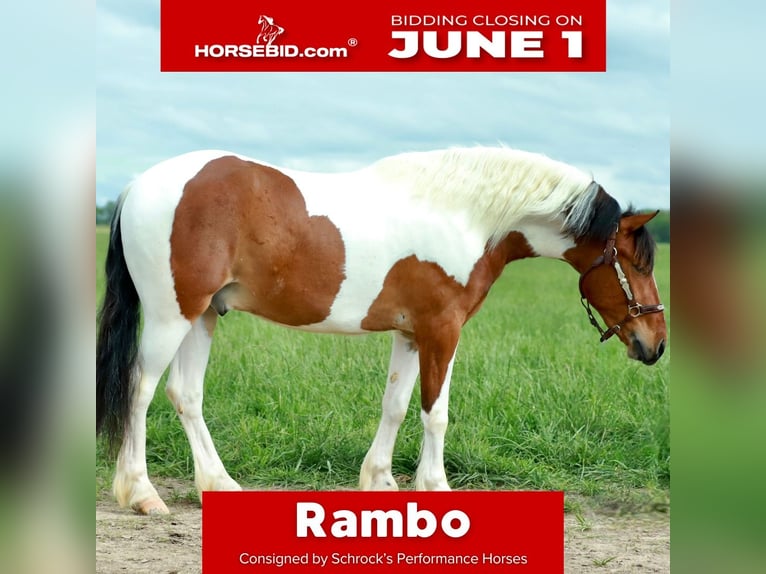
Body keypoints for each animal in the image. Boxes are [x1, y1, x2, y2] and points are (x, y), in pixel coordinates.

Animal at [96, 147, 667, 515]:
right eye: (637, 262)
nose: (655, 344)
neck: (465, 218)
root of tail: (136, 186)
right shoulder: (442, 331)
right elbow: (435, 413)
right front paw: (435, 488)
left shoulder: (410, 334)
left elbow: (395, 404)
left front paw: (381, 481)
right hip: (172, 315)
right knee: (140, 390)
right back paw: (142, 494)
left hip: (203, 316)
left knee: (185, 394)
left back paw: (219, 485)